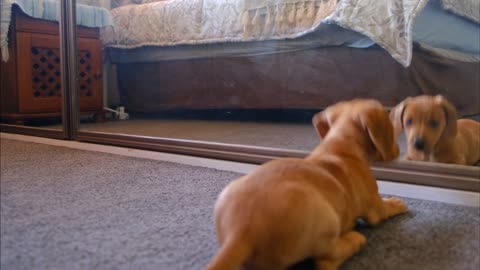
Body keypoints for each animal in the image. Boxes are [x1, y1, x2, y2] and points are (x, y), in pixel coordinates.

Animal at [204, 99, 406, 270]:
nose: (399, 151)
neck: (341, 144)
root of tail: (241, 232)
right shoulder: (375, 208)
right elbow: (385, 209)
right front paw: (396, 202)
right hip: (327, 218)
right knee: (326, 260)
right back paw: (354, 239)